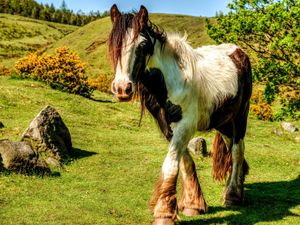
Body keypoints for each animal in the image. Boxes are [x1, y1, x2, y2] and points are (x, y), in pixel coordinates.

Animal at [108, 3, 253, 225]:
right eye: (114, 43)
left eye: (142, 45)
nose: (122, 88)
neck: (171, 81)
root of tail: (239, 52)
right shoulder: (167, 126)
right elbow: (184, 161)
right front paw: (193, 204)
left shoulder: (185, 125)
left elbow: (171, 163)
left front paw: (164, 213)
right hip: (224, 122)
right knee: (232, 150)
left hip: (239, 117)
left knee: (237, 151)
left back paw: (232, 196)